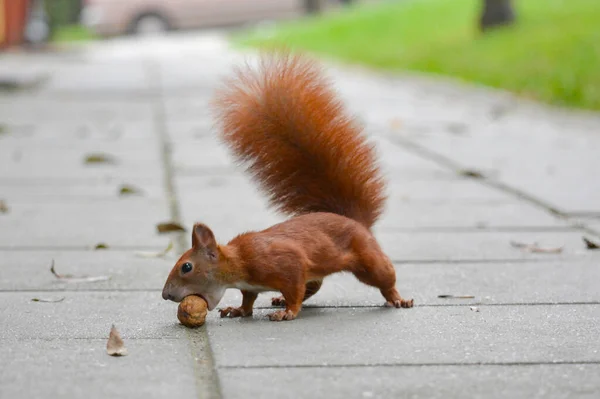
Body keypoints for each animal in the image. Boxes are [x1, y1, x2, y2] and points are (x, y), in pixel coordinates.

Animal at [162, 52, 414, 322]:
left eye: (186, 266)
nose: (165, 294)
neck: (239, 261)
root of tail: (353, 220)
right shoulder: (250, 286)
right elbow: (249, 298)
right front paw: (238, 310)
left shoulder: (287, 263)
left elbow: (294, 287)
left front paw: (288, 311)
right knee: (314, 285)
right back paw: (280, 298)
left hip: (367, 257)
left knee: (383, 277)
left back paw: (398, 299)